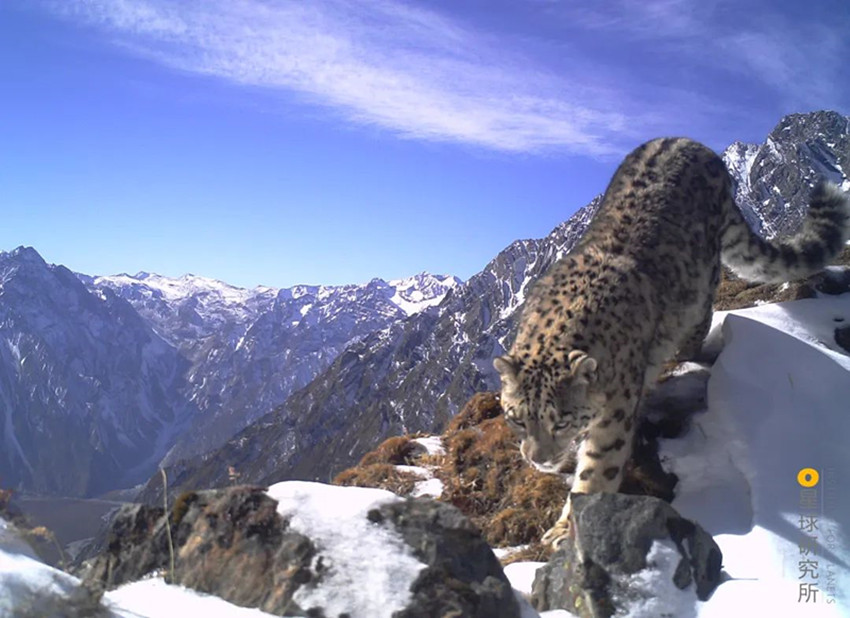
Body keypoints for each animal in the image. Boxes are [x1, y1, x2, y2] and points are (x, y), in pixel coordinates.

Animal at [494, 137, 850, 548]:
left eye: (562, 421)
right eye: (516, 418)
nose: (537, 458)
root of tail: (692, 144)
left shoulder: (613, 417)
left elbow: (596, 472)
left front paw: (566, 529)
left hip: (700, 284)